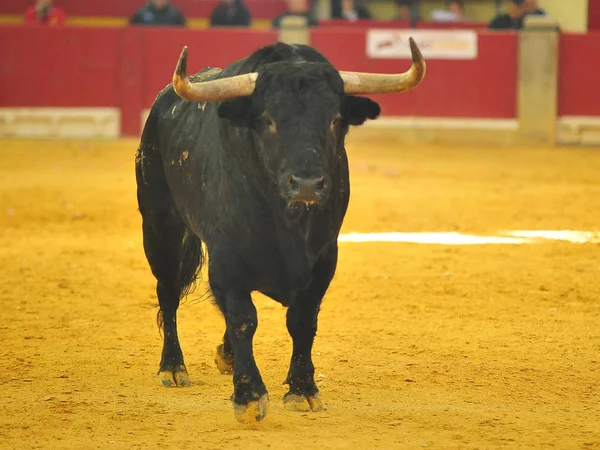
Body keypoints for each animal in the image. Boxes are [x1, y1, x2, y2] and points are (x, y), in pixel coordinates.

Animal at [136, 38, 426, 422]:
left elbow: (301, 320)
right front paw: (248, 396)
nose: (306, 184)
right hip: (159, 225)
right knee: (167, 292)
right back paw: (172, 367)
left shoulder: (324, 258)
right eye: (268, 120)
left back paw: (224, 356)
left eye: (335, 120)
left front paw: (303, 390)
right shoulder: (228, 255)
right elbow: (243, 317)